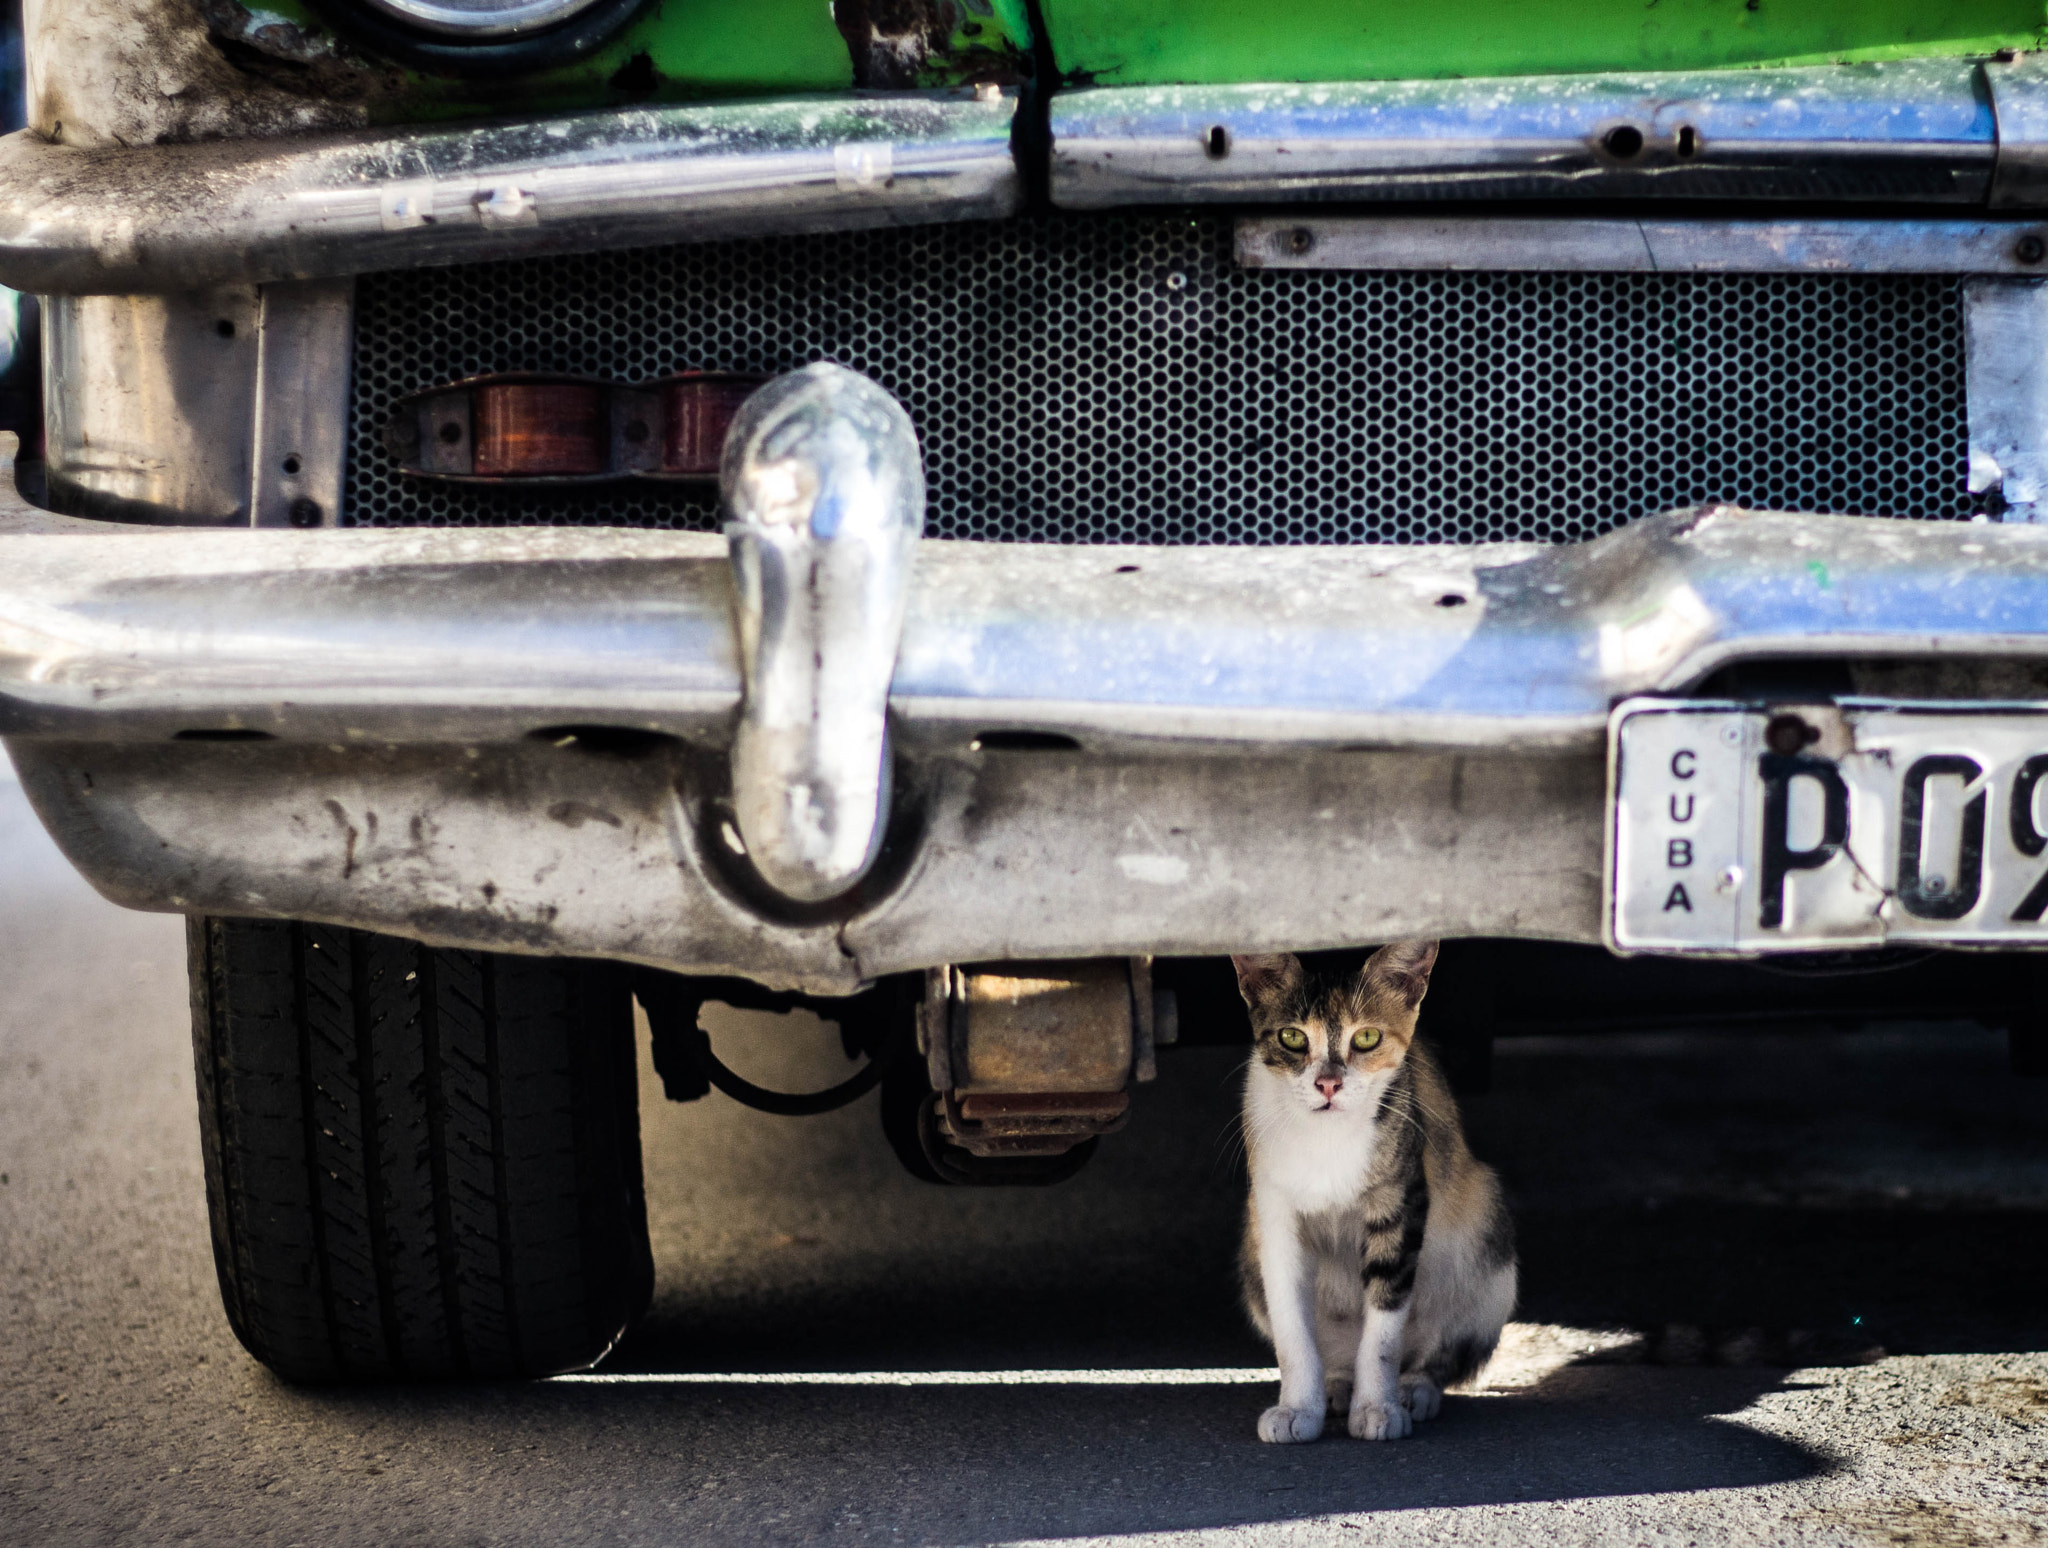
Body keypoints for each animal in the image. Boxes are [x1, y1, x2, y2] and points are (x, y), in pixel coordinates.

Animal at [1228, 937, 1523, 1441]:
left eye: (1366, 1038)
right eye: (1292, 1038)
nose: (1328, 1083)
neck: (1325, 1140)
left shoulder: (1402, 1199)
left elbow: (1384, 1331)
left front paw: (1377, 1409)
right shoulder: (1272, 1213)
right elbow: (1291, 1326)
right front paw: (1297, 1408)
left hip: (1486, 1232)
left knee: (1441, 1350)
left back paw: (1413, 1389)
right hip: (1250, 1255)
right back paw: (1335, 1385)